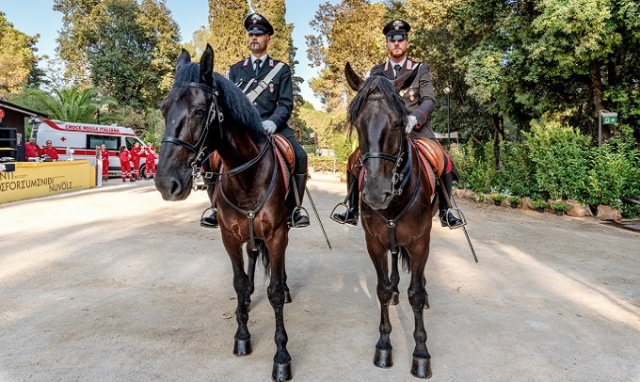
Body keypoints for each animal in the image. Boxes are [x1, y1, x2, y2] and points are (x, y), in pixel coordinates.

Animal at [156, 45, 294, 382]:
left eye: (199, 110)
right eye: (164, 108)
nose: (166, 183)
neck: (246, 174)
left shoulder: (277, 234)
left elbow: (273, 291)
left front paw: (281, 356)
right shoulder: (229, 236)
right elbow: (239, 282)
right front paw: (242, 335)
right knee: (253, 256)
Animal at [344, 63, 440, 380]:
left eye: (399, 124)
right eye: (357, 123)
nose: (375, 193)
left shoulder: (421, 241)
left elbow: (416, 294)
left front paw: (421, 354)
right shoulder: (374, 241)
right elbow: (383, 289)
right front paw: (384, 346)